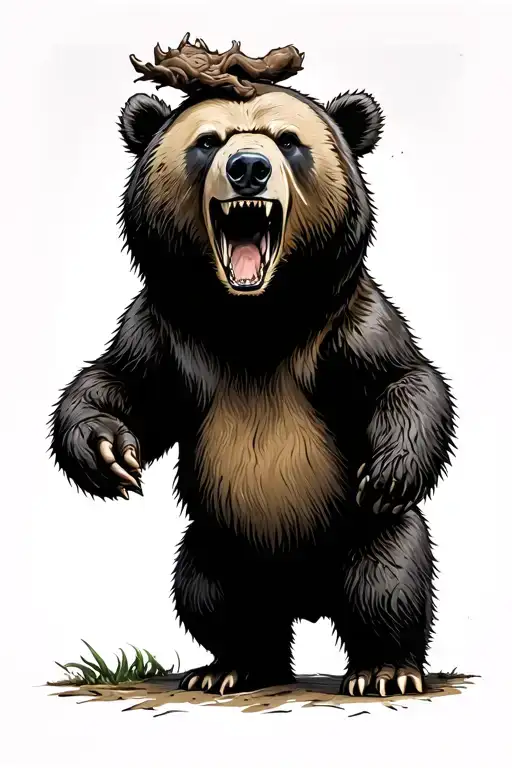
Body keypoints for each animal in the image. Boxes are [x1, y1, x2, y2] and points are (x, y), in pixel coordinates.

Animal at [49, 36, 456, 699]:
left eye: (288, 140)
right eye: (206, 141)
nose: (247, 167)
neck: (253, 323)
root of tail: (305, 598)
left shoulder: (343, 325)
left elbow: (402, 378)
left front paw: (391, 469)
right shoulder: (170, 333)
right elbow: (123, 383)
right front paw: (108, 454)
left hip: (359, 535)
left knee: (388, 580)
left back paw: (385, 669)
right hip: (220, 542)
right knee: (209, 595)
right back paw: (230, 667)